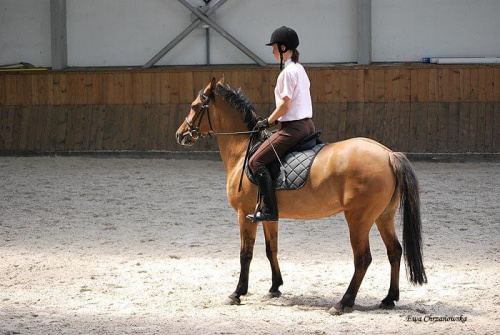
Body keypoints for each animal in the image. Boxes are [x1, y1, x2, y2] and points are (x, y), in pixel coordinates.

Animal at [176, 77, 426, 316]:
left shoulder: (243, 214)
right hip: (383, 216)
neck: (243, 149)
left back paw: (343, 303)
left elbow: (245, 254)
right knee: (394, 251)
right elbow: (271, 249)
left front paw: (237, 293)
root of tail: (389, 155)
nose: (180, 135)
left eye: (195, 106)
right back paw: (389, 298)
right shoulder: (267, 215)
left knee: (363, 258)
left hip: (359, 219)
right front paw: (274, 288)